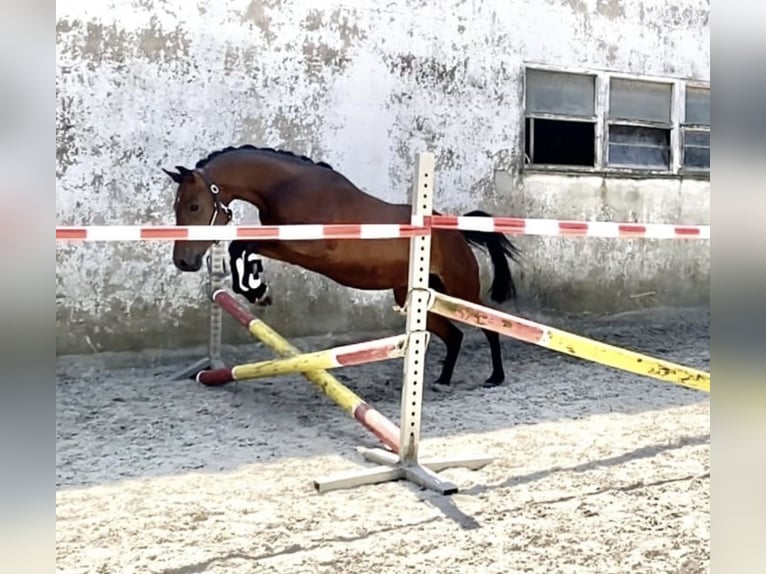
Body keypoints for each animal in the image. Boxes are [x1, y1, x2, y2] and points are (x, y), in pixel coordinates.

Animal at [164, 144, 520, 390]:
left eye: (194, 206)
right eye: (178, 206)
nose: (184, 261)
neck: (289, 186)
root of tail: (456, 231)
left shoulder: (307, 248)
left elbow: (243, 246)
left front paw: (257, 290)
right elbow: (243, 247)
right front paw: (255, 287)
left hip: (461, 289)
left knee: (489, 325)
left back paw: (495, 377)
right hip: (414, 296)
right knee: (454, 335)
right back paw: (443, 380)